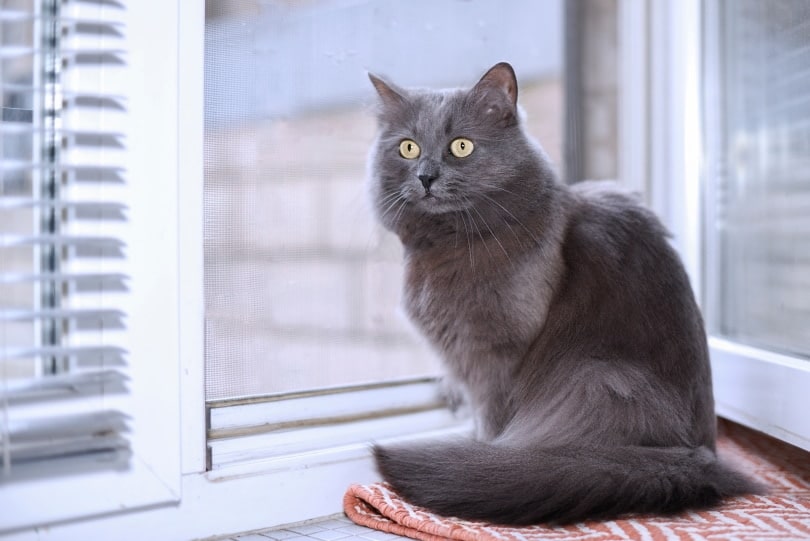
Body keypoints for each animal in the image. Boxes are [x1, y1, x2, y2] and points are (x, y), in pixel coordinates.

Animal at [364, 62, 756, 524]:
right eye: (407, 148)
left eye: (461, 146)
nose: (425, 176)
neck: (447, 243)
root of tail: (700, 454)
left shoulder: (494, 352)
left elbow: (490, 416)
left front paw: (484, 453)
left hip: (599, 378)